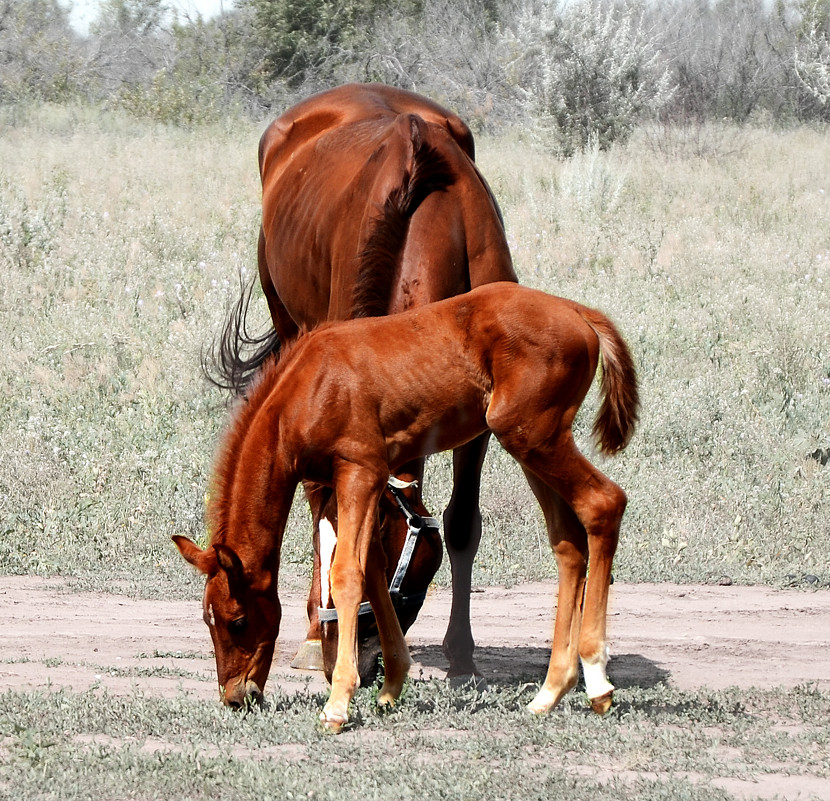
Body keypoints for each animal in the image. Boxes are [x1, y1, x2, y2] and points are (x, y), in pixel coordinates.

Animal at [176, 282, 644, 732]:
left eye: (237, 621)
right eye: (207, 621)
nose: (236, 696)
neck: (305, 392)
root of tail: (578, 311)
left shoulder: (360, 469)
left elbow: (347, 574)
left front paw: (338, 705)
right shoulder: (347, 484)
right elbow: (374, 570)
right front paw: (390, 686)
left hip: (530, 435)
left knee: (603, 504)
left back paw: (597, 681)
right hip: (532, 446)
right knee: (567, 542)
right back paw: (549, 693)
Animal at [211, 84, 516, 680]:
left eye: (371, 570)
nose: (342, 658)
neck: (431, 216)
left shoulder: (481, 415)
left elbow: (462, 524)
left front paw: (462, 654)